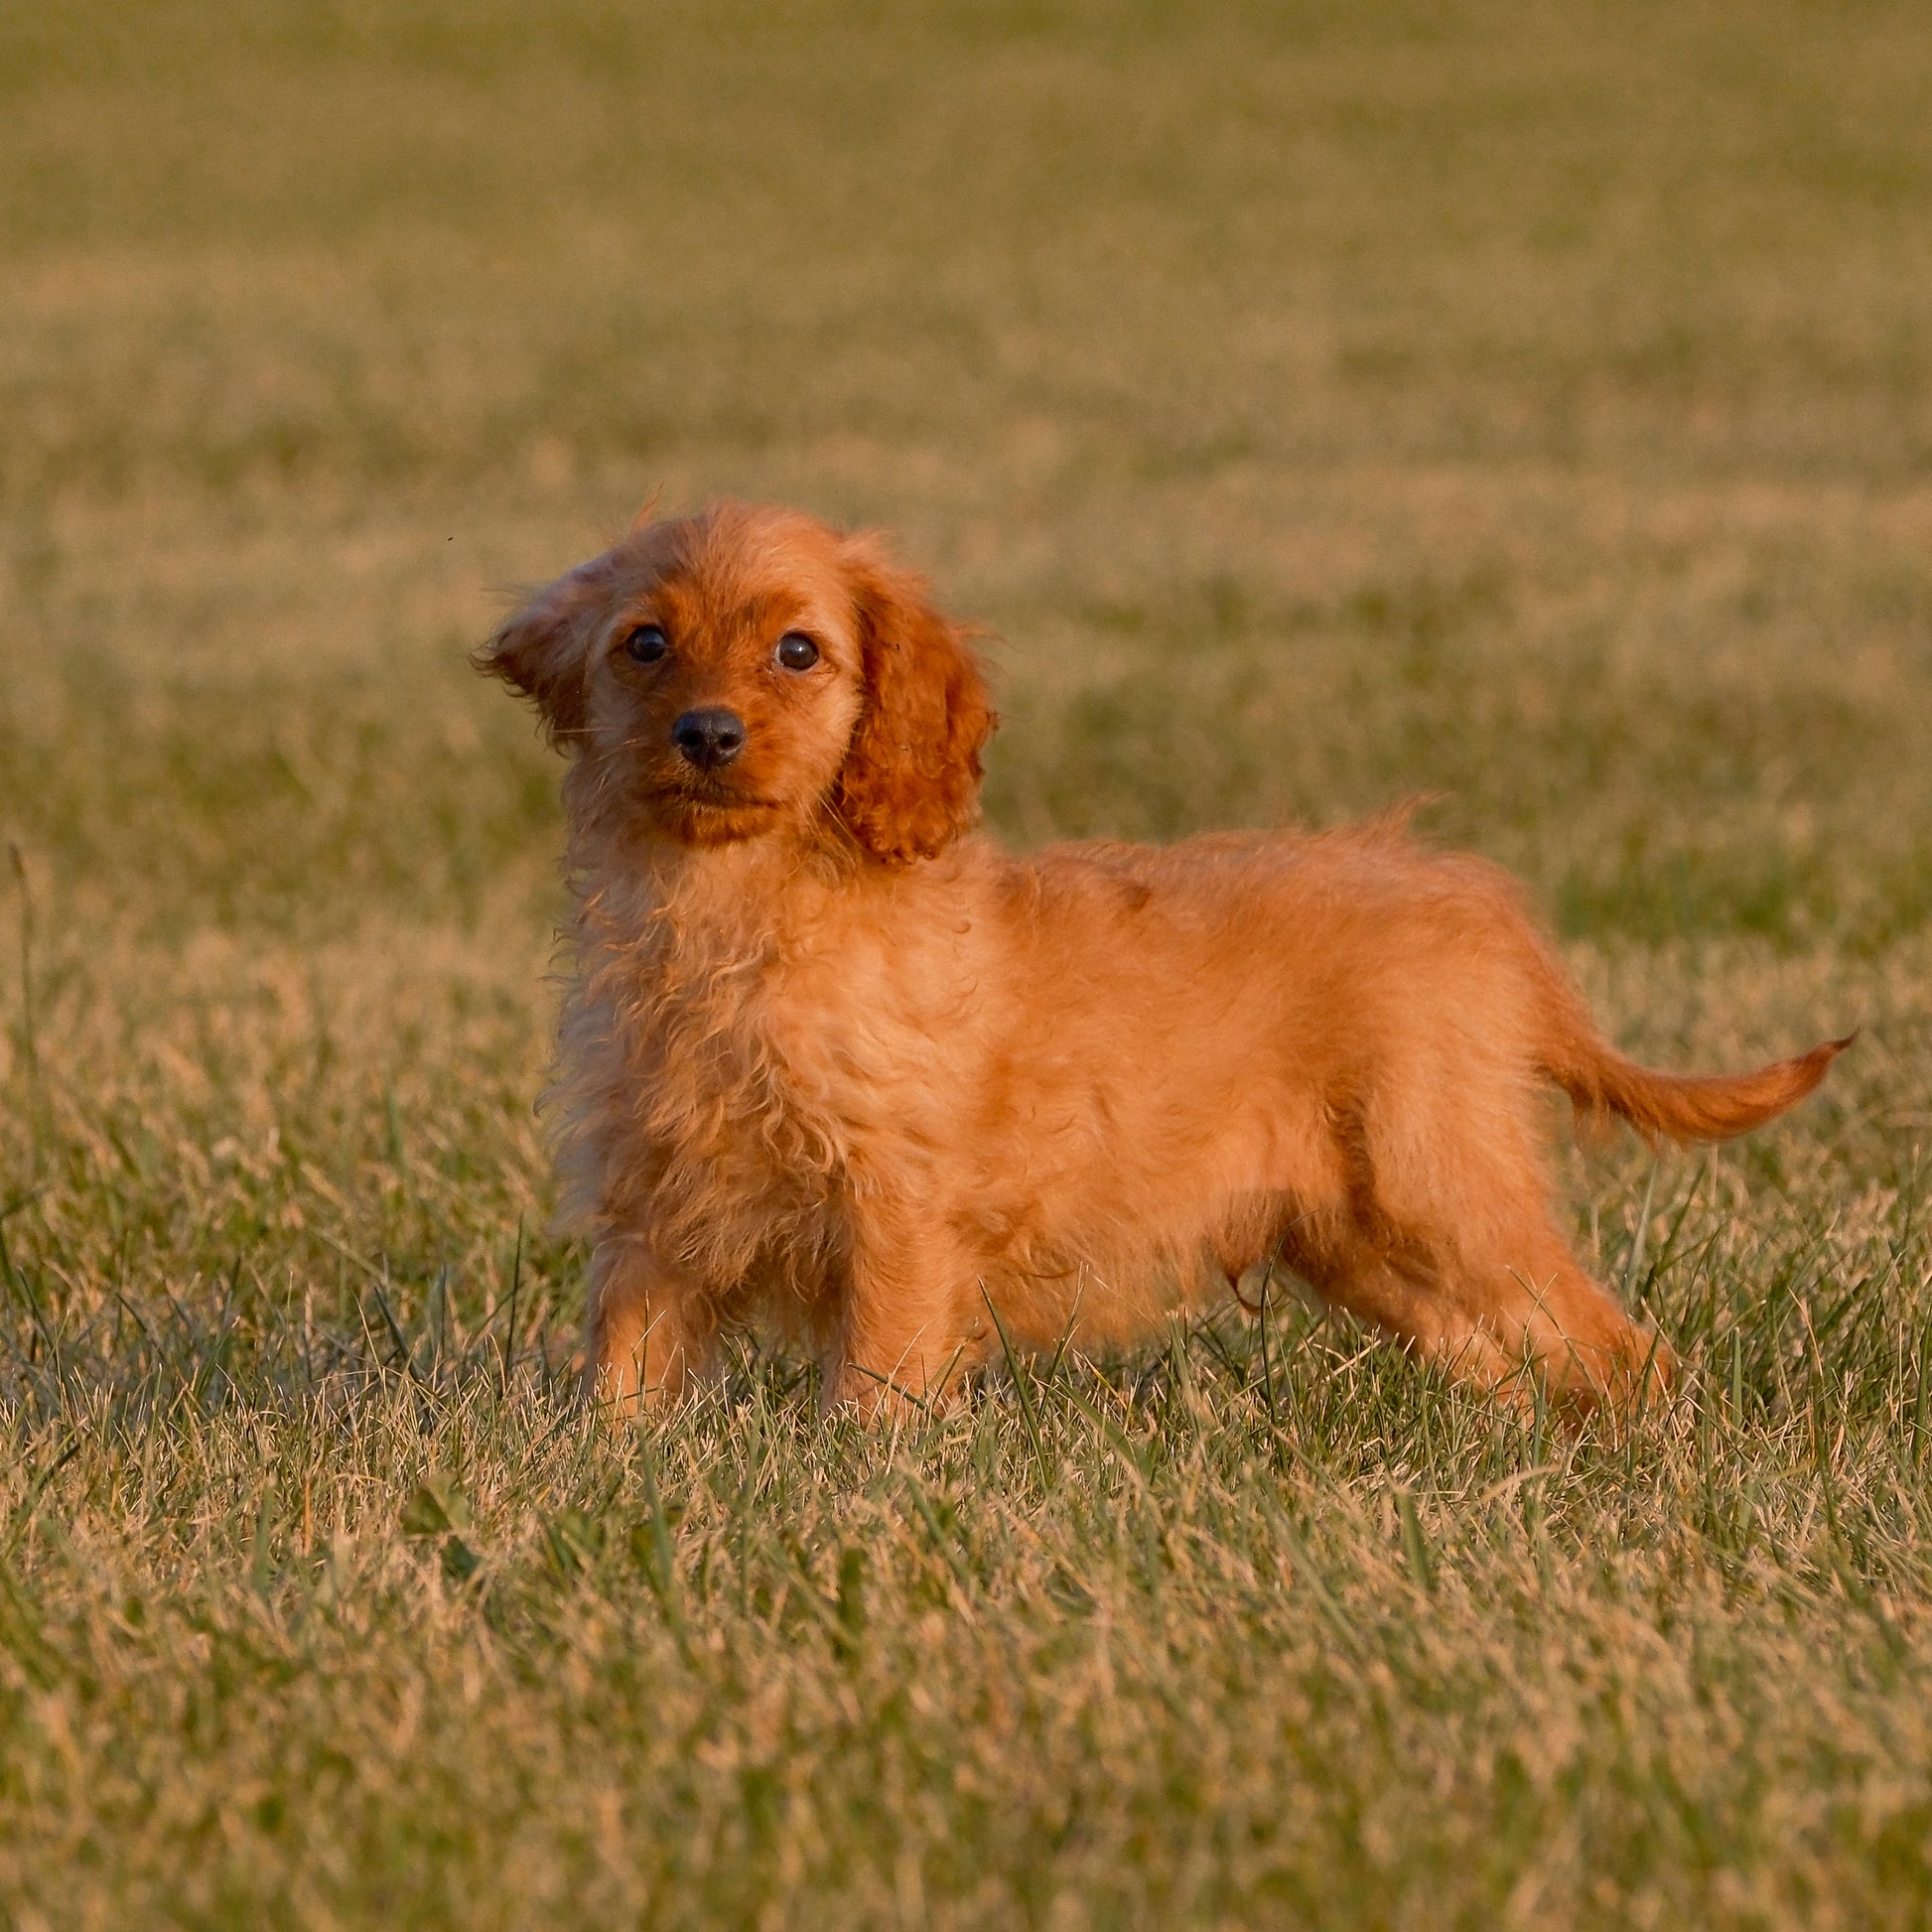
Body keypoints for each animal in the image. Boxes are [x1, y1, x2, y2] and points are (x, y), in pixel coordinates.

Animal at [475, 501, 1847, 1422]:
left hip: (1442, 1187)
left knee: (1607, 1339)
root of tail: (1467, 903)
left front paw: (854, 1481)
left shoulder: (897, 1211)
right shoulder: (649, 1213)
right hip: (1359, 1238)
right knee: (1507, 1355)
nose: (706, 734)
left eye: (797, 652)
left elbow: (874, 1381)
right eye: (644, 645)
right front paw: (603, 1472)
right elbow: (621, 1379)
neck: (736, 912)